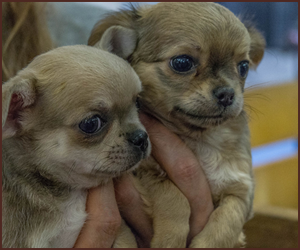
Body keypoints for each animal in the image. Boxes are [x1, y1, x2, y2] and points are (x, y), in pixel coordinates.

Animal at [88, 1, 264, 248]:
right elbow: (175, 198)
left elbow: (227, 221)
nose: (228, 94)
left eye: (243, 67)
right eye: (182, 63)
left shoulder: (241, 190)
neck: (200, 139)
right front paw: (170, 239)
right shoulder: (144, 170)